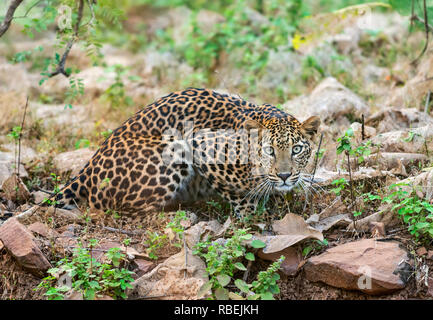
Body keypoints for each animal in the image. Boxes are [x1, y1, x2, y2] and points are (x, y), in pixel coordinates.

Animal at [54, 87, 318, 222]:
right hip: (172, 148)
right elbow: (240, 198)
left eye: (296, 149)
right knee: (125, 214)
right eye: (269, 150)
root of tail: (88, 169)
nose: (284, 175)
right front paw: (251, 219)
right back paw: (179, 217)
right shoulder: (201, 144)